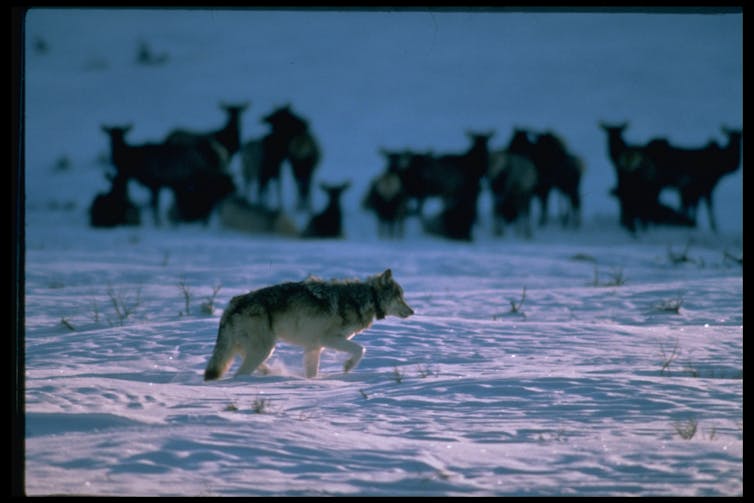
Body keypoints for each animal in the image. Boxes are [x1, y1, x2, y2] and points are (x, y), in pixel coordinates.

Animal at [204, 269, 414, 380]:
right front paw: (347, 367)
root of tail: (232, 303)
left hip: (258, 349)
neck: (365, 298)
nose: (413, 311)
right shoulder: (328, 339)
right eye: (399, 297)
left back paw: (269, 372)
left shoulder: (314, 347)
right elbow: (360, 349)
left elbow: (312, 373)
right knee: (239, 374)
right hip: (263, 349)